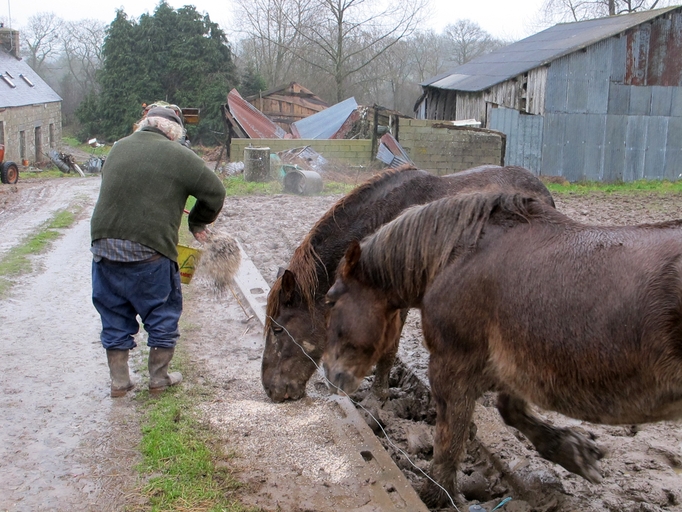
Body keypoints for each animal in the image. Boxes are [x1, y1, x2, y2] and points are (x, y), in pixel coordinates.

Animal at [323, 191, 682, 507]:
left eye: (331, 299)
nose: (329, 373)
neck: (459, 256)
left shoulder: (452, 366)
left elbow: (449, 442)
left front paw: (436, 496)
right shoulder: (514, 365)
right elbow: (510, 410)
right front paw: (575, 452)